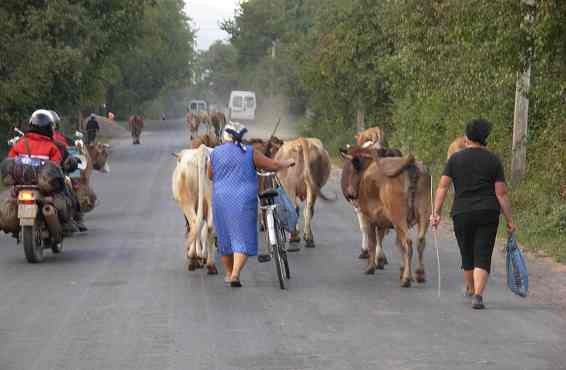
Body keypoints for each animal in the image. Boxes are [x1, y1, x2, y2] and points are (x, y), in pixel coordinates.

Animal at [171, 146, 217, 274]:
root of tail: (201, 151)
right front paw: (202, 256)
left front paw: (197, 256)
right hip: (213, 200)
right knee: (209, 226)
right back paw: (210, 264)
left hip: (186, 200)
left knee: (195, 222)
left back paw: (193, 257)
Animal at [342, 146, 430, 288]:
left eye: (352, 170)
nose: (349, 193)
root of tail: (410, 163)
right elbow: (397, 244)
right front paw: (402, 269)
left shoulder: (370, 218)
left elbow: (373, 241)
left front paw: (371, 267)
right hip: (423, 214)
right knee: (420, 241)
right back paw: (420, 274)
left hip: (399, 216)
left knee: (408, 242)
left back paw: (406, 279)